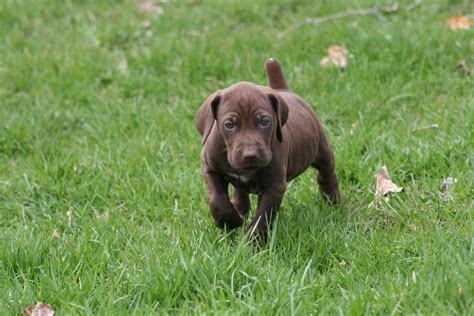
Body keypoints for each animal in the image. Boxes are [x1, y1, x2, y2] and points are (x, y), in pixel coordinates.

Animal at [196, 58, 340, 237]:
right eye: (228, 125)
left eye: (265, 122)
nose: (250, 155)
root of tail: (283, 90)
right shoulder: (210, 168)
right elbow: (217, 201)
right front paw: (230, 221)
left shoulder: (274, 186)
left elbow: (262, 216)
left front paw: (252, 240)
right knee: (240, 193)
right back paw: (239, 211)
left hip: (321, 150)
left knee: (327, 175)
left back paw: (333, 203)